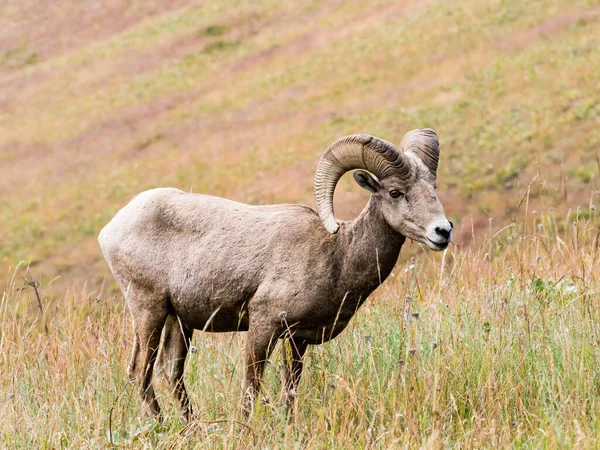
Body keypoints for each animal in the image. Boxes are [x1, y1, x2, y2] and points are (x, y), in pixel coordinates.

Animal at [98, 129, 452, 418]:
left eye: (432, 187)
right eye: (395, 192)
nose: (443, 231)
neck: (337, 253)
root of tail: (113, 226)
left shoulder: (297, 339)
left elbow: (290, 390)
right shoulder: (263, 326)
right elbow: (251, 388)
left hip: (179, 320)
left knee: (170, 374)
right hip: (149, 309)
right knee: (140, 373)